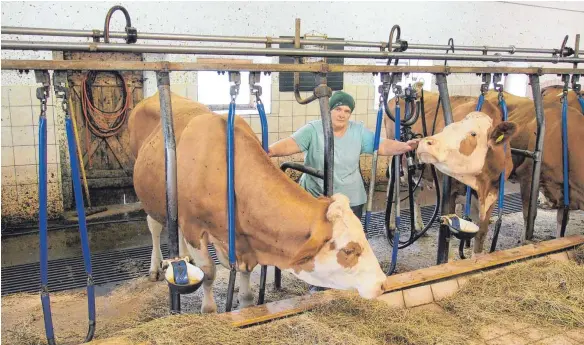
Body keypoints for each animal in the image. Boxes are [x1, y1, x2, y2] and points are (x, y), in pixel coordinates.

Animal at [130, 90, 390, 312]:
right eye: (349, 250)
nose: (382, 283)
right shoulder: (194, 226)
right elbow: (209, 273)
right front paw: (209, 310)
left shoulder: (244, 240)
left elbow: (245, 276)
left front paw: (245, 303)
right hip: (149, 195)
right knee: (155, 227)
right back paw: (155, 267)